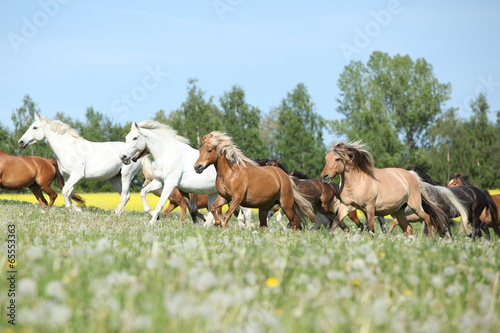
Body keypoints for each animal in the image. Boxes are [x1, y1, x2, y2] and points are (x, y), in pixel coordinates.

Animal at [322, 140, 452, 236]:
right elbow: (335, 222)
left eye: (337, 159)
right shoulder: (346, 206)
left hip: (415, 206)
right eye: (326, 159)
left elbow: (371, 228)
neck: (357, 183)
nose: (324, 177)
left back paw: (431, 239)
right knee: (409, 228)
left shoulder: (370, 208)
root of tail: (412, 175)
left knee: (427, 218)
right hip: (399, 212)